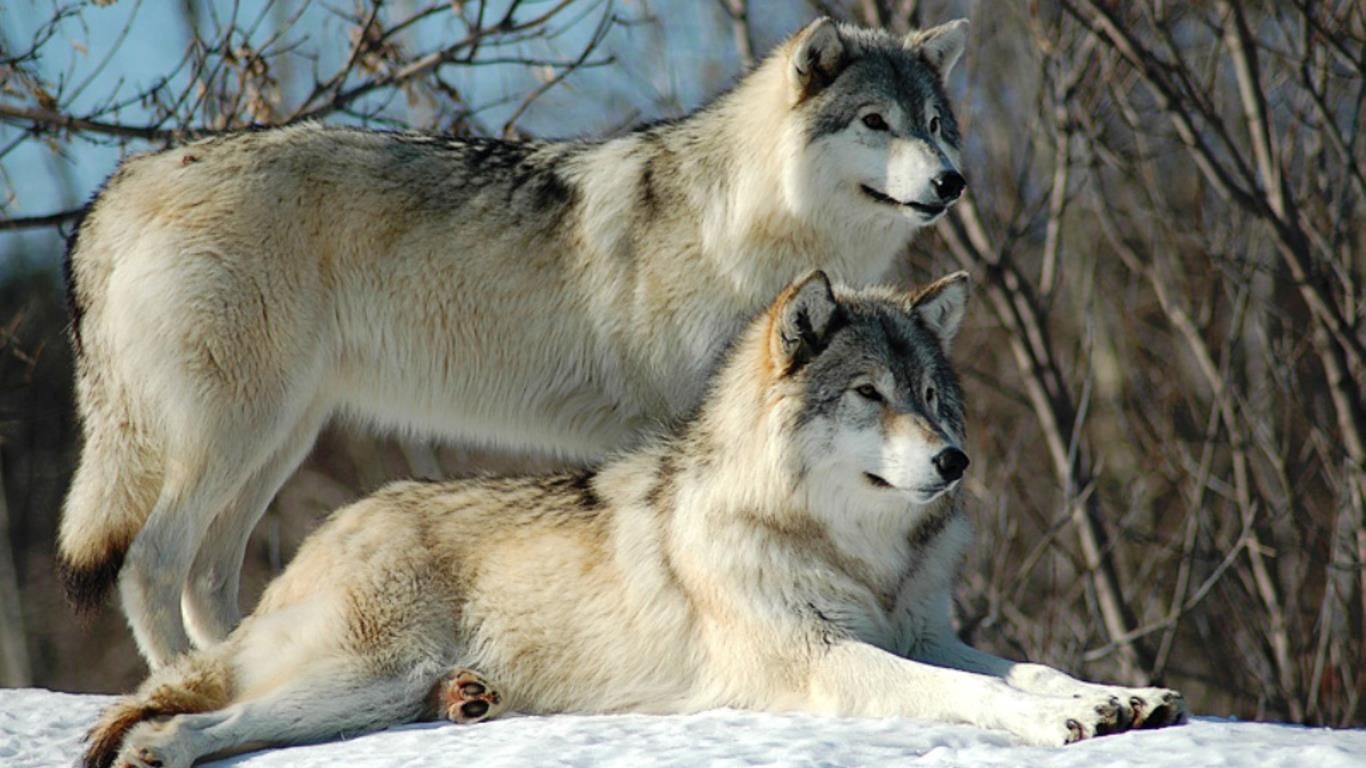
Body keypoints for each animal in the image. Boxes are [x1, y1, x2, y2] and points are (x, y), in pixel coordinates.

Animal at [59, 17, 975, 669]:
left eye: (935, 124)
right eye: (875, 122)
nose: (951, 181)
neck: (746, 225)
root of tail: (119, 188)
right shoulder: (674, 435)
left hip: (274, 443)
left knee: (208, 575)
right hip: (231, 438)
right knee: (150, 563)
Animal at [81, 273, 1186, 768]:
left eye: (929, 396)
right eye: (869, 396)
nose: (954, 461)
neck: (851, 550)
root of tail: (329, 529)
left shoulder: (924, 632)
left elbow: (1026, 665)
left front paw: (1121, 696)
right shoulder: (827, 662)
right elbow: (974, 694)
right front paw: (1062, 723)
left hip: (371, 690)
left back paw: (465, 705)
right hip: (353, 671)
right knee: (204, 715)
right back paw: (158, 752)